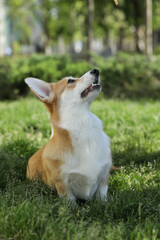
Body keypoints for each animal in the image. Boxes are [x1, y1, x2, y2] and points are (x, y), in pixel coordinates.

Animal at [25, 69, 112, 202]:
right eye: (70, 80)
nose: (95, 70)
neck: (83, 125)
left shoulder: (104, 176)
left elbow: (102, 196)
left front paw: (103, 204)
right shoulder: (63, 183)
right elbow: (70, 201)